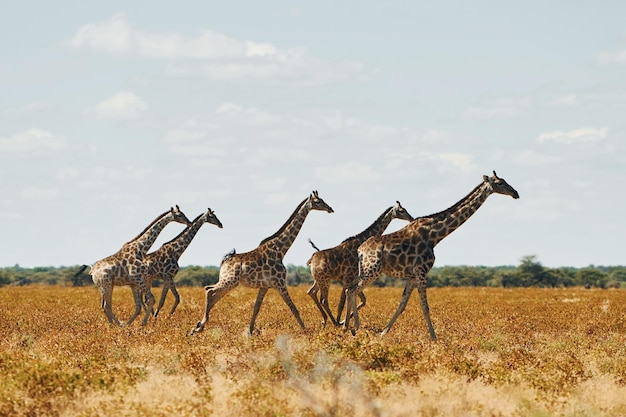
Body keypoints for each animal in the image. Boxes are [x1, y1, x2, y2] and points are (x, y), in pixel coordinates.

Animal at [189, 191, 332, 334]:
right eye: (318, 201)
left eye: (322, 199)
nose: (330, 209)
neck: (280, 249)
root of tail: (224, 261)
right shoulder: (280, 283)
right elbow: (293, 308)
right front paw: (306, 331)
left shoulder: (265, 286)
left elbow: (256, 308)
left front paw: (250, 332)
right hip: (230, 280)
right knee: (210, 291)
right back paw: (199, 326)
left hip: (229, 281)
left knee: (212, 292)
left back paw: (198, 326)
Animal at [342, 171, 516, 338]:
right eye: (500, 182)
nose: (516, 193)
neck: (434, 236)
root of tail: (360, 250)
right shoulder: (422, 271)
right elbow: (425, 306)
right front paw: (434, 338)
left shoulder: (412, 276)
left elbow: (402, 304)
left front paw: (383, 333)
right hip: (372, 270)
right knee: (352, 290)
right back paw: (353, 327)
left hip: (365, 270)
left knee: (350, 289)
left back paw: (347, 326)